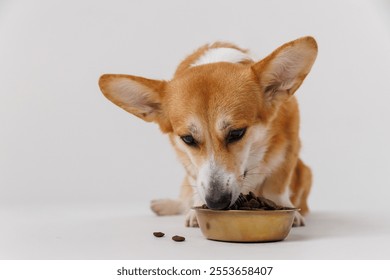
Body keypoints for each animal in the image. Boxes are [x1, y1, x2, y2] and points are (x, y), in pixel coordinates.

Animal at [97, 35, 316, 228]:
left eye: (237, 133)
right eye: (187, 139)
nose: (216, 203)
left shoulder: (290, 147)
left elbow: (276, 185)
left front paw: (286, 210)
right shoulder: (186, 159)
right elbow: (195, 181)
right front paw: (195, 211)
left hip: (305, 171)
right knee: (184, 196)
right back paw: (167, 205)